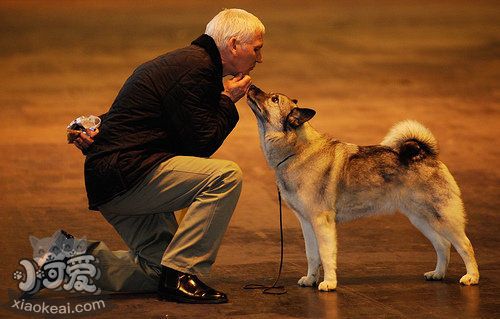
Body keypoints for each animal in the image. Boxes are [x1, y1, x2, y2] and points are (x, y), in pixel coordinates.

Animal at [246, 85, 480, 292]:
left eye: (274, 99)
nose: (252, 86)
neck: (298, 150)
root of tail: (426, 154)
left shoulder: (322, 222)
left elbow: (326, 254)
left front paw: (329, 283)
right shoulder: (307, 222)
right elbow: (312, 254)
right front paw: (311, 278)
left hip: (442, 216)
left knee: (464, 245)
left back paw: (471, 277)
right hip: (421, 218)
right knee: (443, 245)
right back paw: (438, 273)